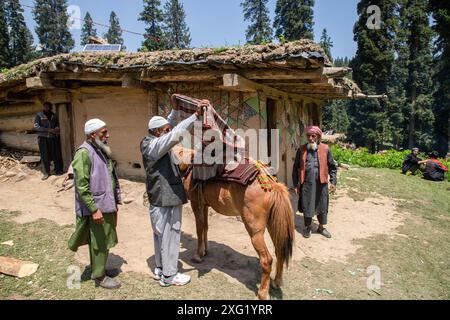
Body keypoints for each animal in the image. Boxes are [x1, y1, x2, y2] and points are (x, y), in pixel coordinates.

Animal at [175, 148, 296, 300]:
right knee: (280, 251)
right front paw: (205, 250)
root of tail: (272, 185)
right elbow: (205, 227)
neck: (187, 164)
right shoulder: (205, 205)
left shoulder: (196, 203)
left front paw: (198, 255)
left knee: (267, 260)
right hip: (274, 225)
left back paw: (262, 293)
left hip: (255, 231)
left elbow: (199, 229)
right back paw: (276, 282)